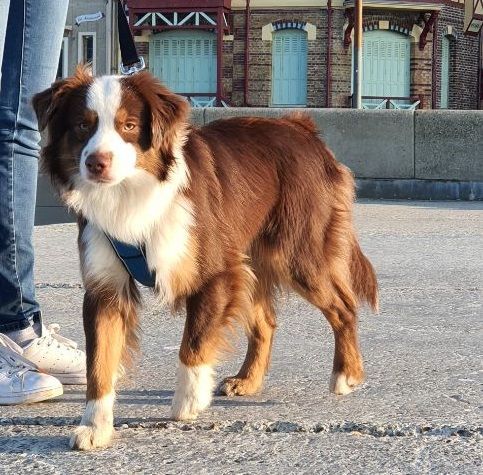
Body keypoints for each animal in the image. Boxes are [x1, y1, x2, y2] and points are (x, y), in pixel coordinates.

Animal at [34, 66, 380, 450]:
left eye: (129, 125)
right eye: (82, 125)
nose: (97, 163)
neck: (131, 197)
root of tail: (302, 128)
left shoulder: (216, 273)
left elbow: (194, 342)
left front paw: (188, 401)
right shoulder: (104, 286)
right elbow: (99, 362)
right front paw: (95, 425)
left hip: (298, 251)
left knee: (343, 306)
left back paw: (347, 373)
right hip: (251, 256)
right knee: (265, 322)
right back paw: (248, 380)